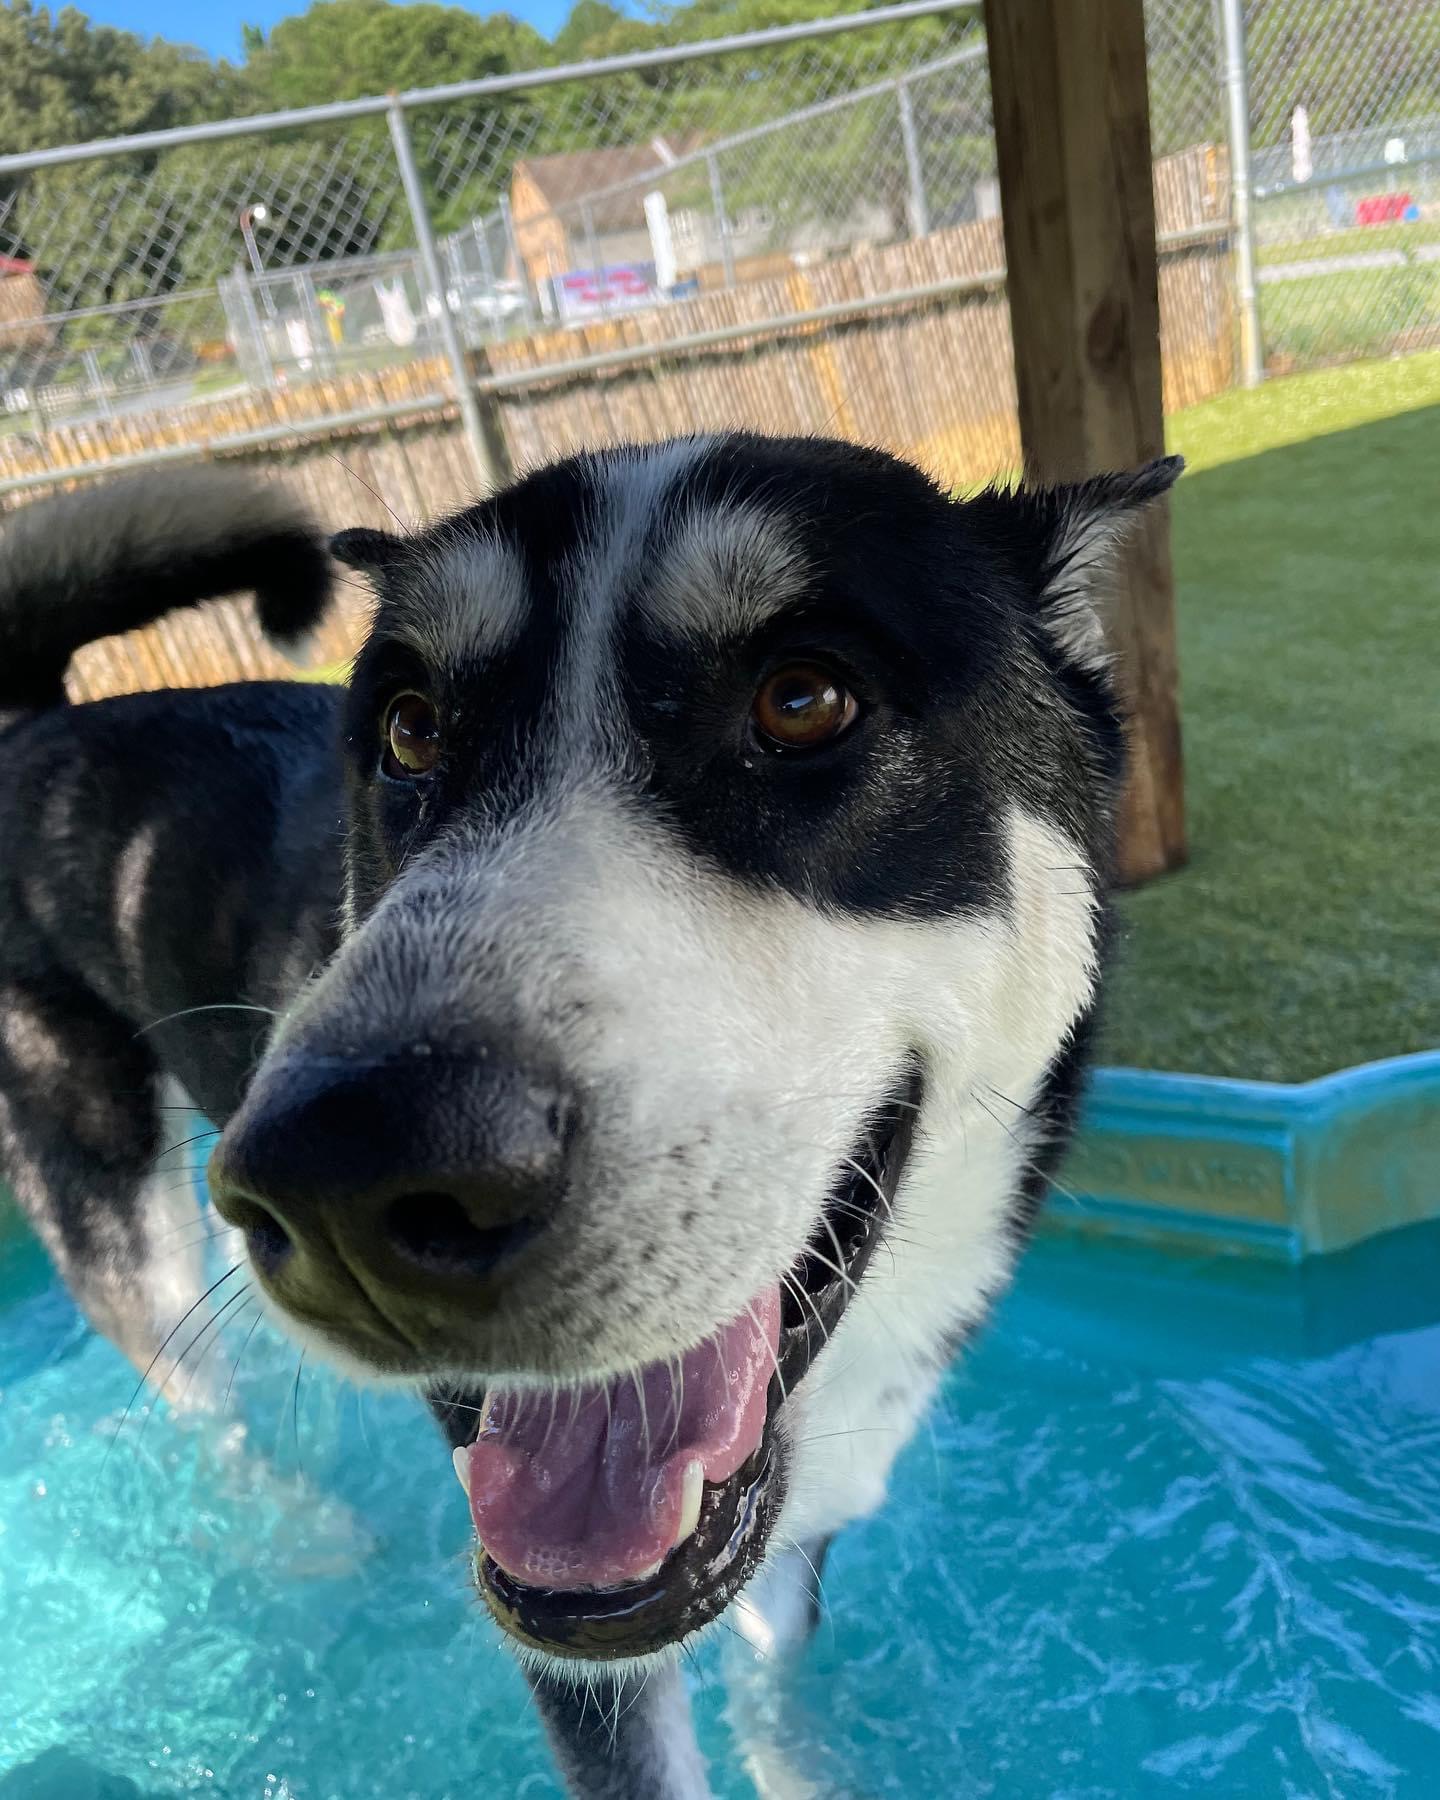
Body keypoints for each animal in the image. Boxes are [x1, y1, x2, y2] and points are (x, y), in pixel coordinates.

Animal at [0, 439, 1180, 1800]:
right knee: (205, 1404)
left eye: (804, 700)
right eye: (409, 729)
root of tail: (43, 721)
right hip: (123, 1219)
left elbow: (778, 1687)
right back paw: (308, 1534)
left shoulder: (799, 1529)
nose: (340, 1178)